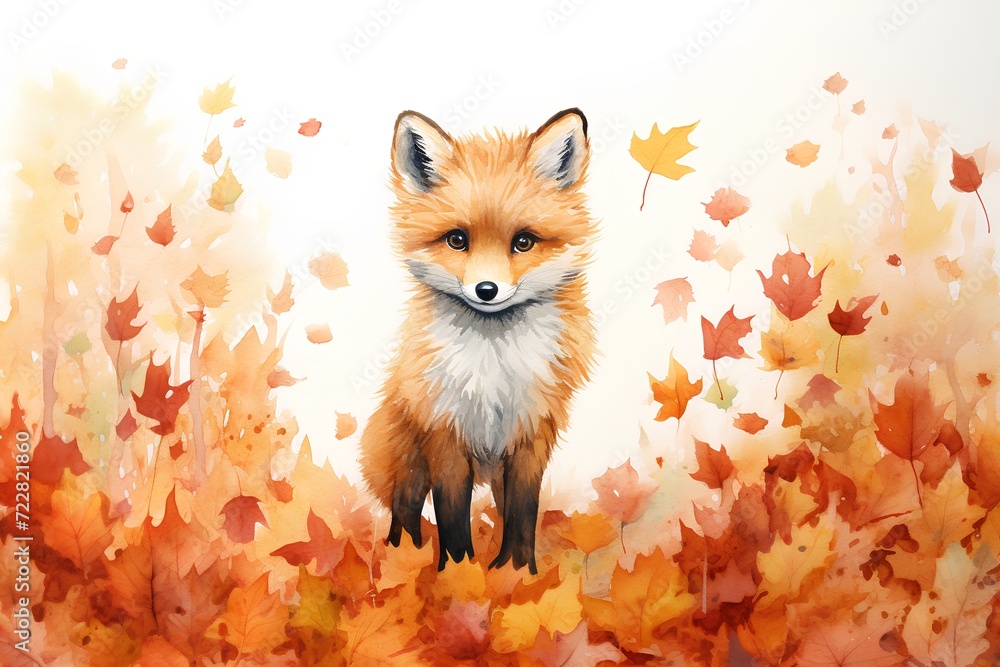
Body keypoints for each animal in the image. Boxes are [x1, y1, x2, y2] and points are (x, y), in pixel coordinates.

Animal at [360, 107, 597, 574]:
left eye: (523, 242)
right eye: (457, 240)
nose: (487, 290)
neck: (494, 366)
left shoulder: (531, 435)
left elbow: (523, 514)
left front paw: (518, 574)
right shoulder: (446, 434)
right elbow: (452, 516)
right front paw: (456, 572)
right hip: (410, 465)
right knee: (404, 513)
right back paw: (403, 558)